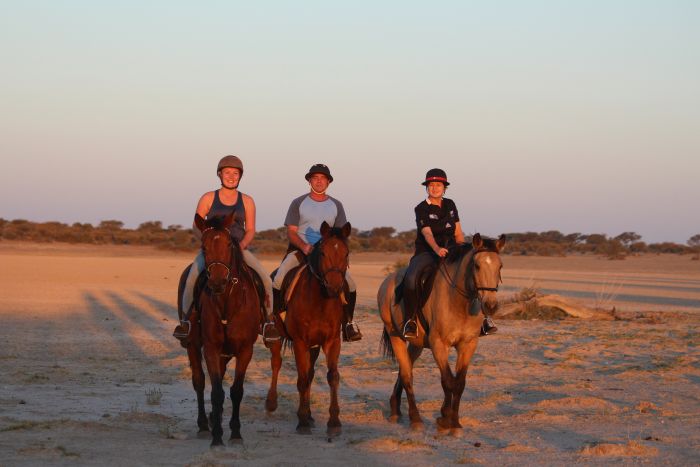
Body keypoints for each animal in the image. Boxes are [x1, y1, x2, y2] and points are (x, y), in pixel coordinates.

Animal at [175, 212, 262, 446]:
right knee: (199, 381)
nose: (216, 282)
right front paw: (216, 438)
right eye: (204, 247)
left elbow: (236, 390)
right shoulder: (211, 348)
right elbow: (215, 392)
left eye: (229, 244)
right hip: (193, 344)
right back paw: (205, 425)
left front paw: (235, 433)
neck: (226, 302)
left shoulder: (245, 350)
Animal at [264, 221, 350, 436]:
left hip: (314, 346)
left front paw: (333, 422)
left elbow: (331, 377)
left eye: (346, 253)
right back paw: (271, 403)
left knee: (310, 374)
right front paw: (302, 421)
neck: (319, 301)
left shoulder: (331, 342)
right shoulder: (300, 342)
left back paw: (310, 415)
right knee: (276, 364)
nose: (334, 287)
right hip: (277, 339)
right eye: (323, 253)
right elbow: (301, 379)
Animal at [380, 234, 506, 436]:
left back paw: (395, 409)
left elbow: (459, 383)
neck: (458, 301)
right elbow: (447, 381)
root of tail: (388, 281)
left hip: (416, 344)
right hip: (396, 337)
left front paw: (454, 422)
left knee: (404, 369)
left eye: (500, 266)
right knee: (407, 376)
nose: (491, 305)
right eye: (477, 266)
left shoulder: (468, 345)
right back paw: (415, 419)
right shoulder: (439, 344)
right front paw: (446, 419)